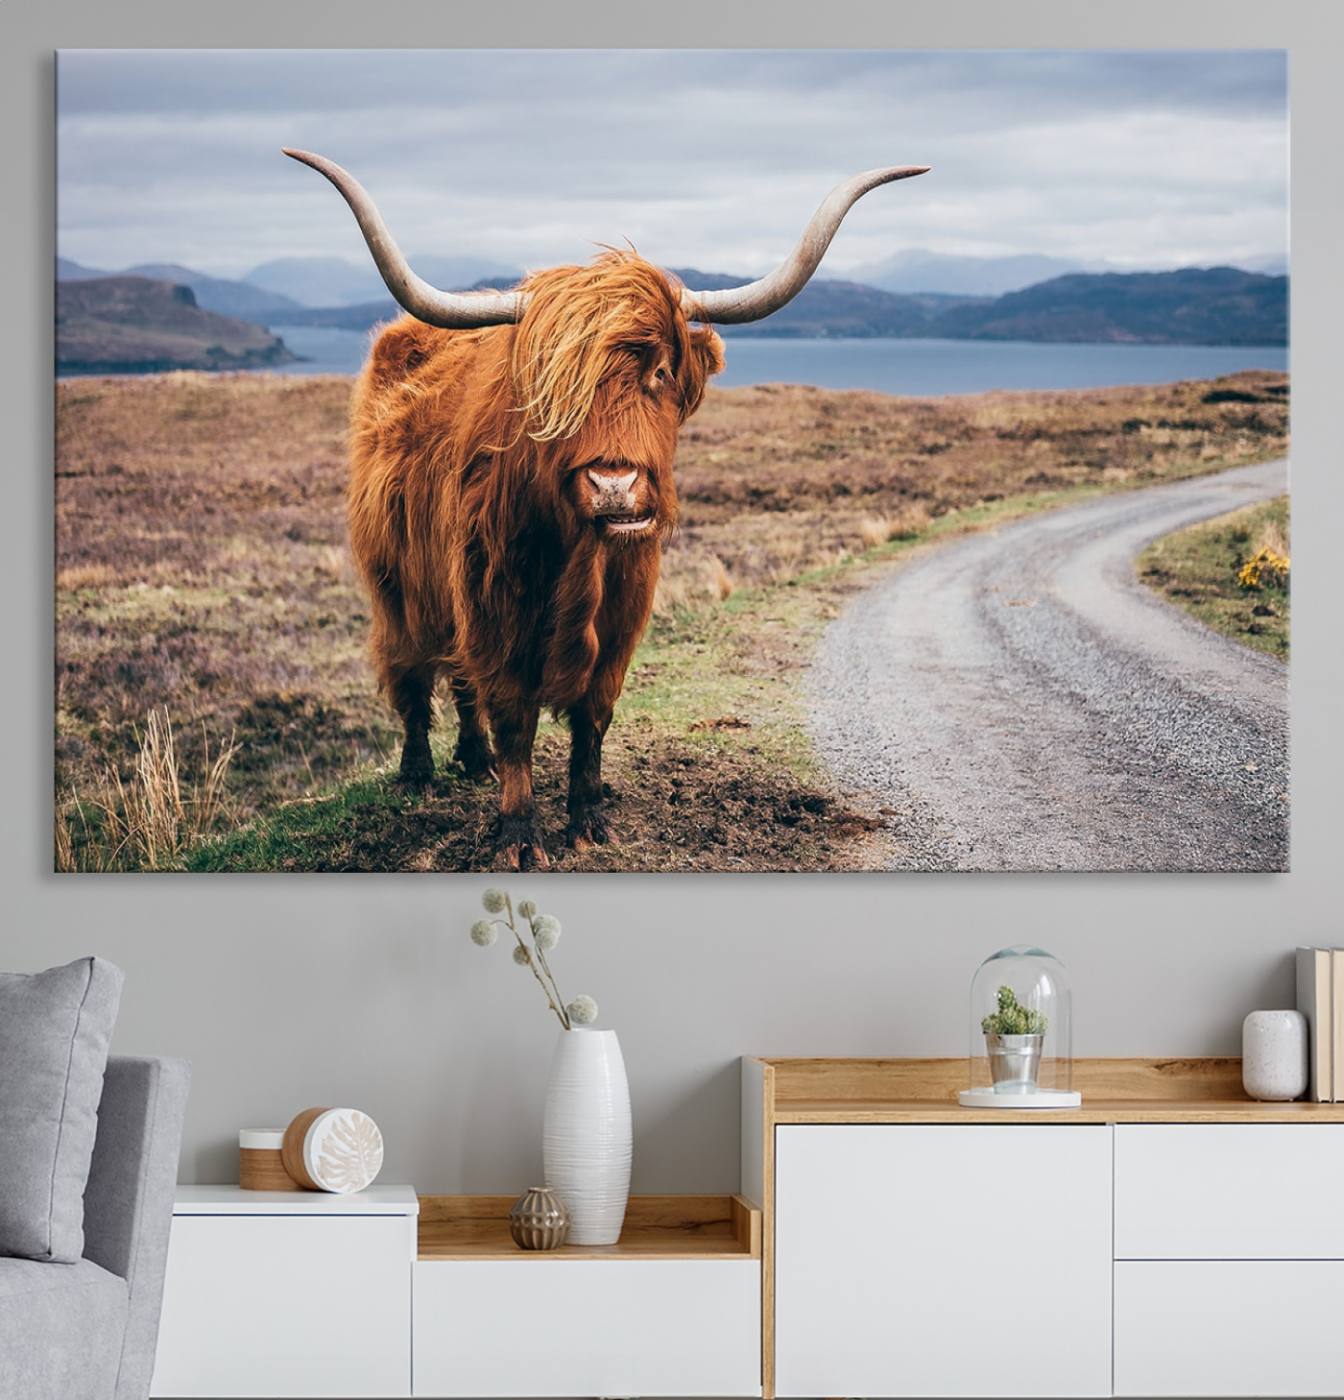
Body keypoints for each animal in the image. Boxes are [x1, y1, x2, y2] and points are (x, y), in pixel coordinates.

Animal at [284, 149, 928, 868]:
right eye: (552, 386)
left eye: (661, 372)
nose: (614, 485)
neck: (579, 559)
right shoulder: (493, 607)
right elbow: (513, 716)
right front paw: (518, 835)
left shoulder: (622, 617)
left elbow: (592, 719)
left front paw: (589, 820)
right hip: (396, 581)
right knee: (413, 674)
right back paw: (420, 772)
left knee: (458, 680)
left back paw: (473, 760)